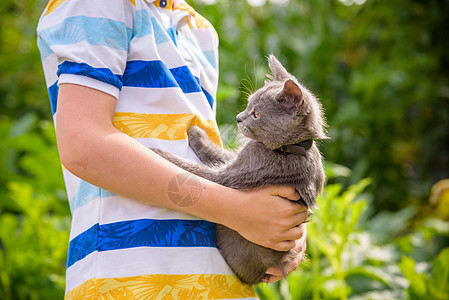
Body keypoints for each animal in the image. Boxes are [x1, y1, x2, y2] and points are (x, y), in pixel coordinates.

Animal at [150, 55, 326, 284]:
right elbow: (217, 155)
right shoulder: (236, 160)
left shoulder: (233, 177)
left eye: (257, 114)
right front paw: (197, 133)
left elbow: (195, 171)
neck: (289, 149)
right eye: (248, 103)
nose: (238, 118)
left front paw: (157, 152)